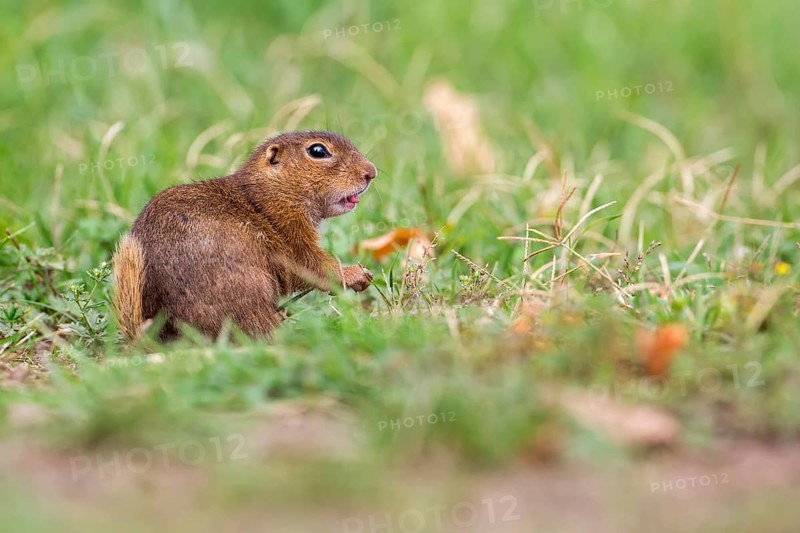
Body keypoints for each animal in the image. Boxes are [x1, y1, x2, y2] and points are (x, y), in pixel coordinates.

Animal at [112, 131, 377, 340]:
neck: (268, 194)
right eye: (318, 151)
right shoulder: (290, 233)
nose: (371, 172)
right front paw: (355, 274)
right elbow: (312, 265)